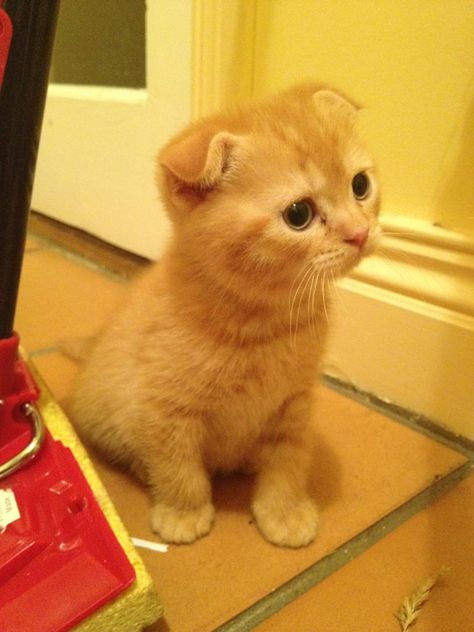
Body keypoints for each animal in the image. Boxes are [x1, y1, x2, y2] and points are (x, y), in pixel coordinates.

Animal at [70, 82, 382, 548]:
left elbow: (288, 460)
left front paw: (284, 511)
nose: (359, 233)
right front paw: (183, 512)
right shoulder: (164, 408)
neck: (264, 325)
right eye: (299, 214)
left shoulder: (295, 403)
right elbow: (177, 465)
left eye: (360, 185)